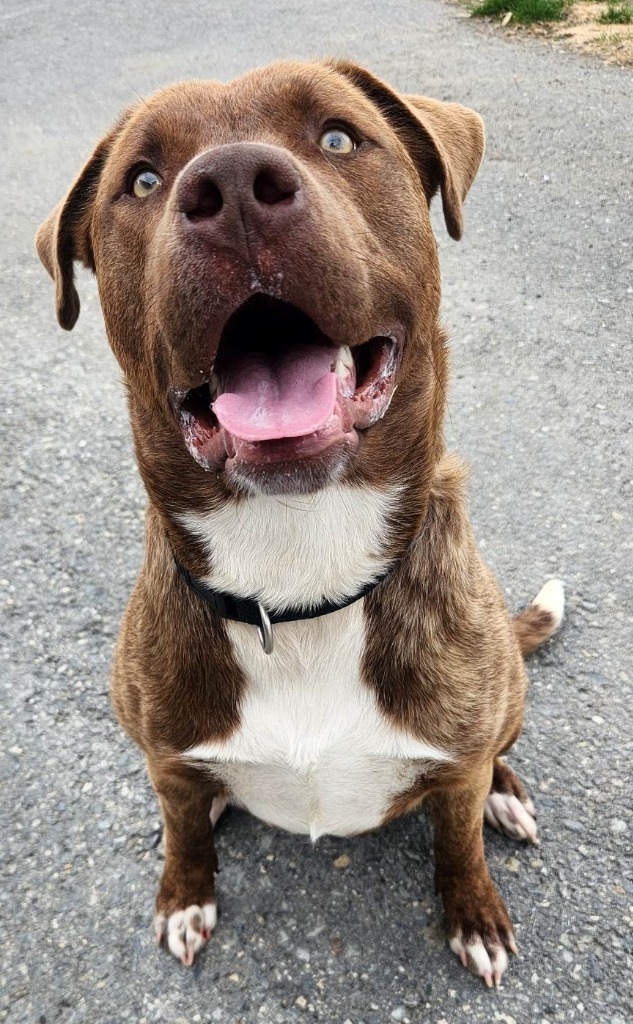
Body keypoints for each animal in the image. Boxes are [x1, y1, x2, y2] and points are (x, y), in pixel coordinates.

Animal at [35, 58, 561, 983]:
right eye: (142, 180)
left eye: (339, 137)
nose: (233, 186)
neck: (301, 570)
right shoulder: (165, 753)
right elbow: (179, 826)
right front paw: (185, 887)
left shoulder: (455, 757)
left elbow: (456, 842)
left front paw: (473, 910)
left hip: (506, 697)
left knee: (489, 760)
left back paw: (504, 794)